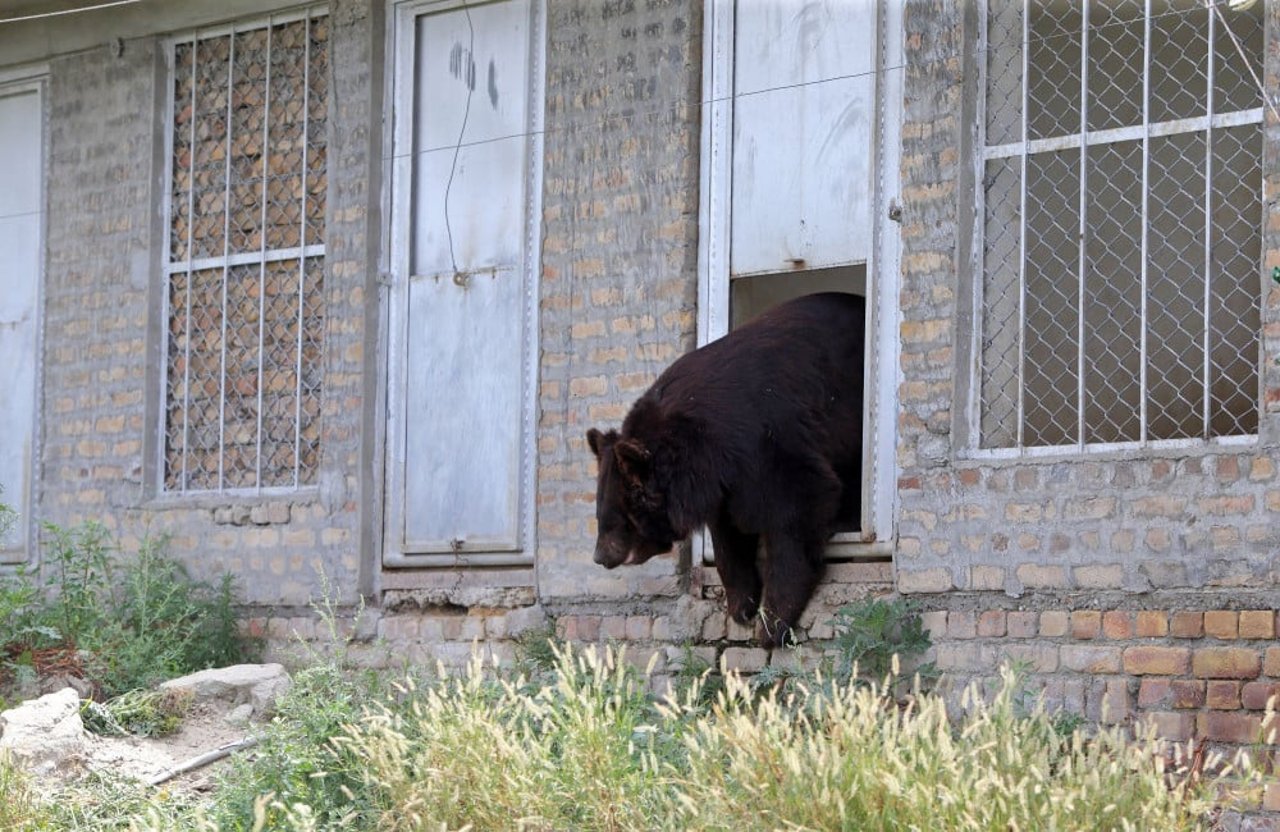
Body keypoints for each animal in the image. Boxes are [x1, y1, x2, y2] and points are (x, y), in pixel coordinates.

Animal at [586, 293, 865, 647]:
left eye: (620, 516)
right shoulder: (722, 479)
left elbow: (798, 502)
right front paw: (741, 606)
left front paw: (772, 623)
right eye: (601, 512)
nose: (601, 557)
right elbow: (728, 531)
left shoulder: (767, 436)